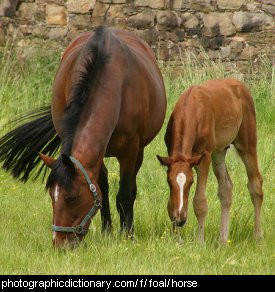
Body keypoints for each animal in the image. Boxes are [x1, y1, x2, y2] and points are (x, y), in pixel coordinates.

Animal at [0, 27, 167, 248]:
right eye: (51, 196)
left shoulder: (131, 150)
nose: (60, 244)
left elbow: (125, 194)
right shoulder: (96, 151)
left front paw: (127, 236)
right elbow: (102, 189)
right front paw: (107, 232)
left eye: (72, 198)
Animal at [157, 78, 264, 244]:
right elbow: (170, 204)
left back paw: (258, 237)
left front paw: (200, 242)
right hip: (219, 152)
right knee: (226, 188)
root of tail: (240, 85)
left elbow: (200, 201)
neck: (192, 110)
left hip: (247, 145)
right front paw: (177, 240)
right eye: (169, 181)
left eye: (191, 182)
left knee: (256, 184)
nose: (181, 219)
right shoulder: (173, 155)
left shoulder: (204, 157)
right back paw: (223, 241)